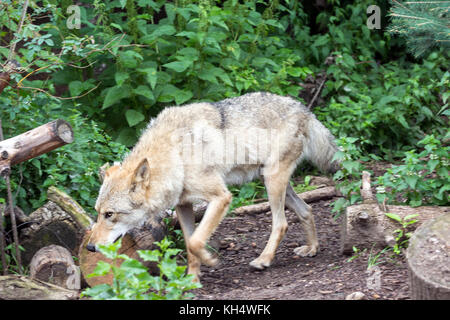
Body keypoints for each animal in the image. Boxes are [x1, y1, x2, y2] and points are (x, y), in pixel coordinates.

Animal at [87, 91, 338, 282]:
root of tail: (303, 108)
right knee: (307, 209)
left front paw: (210, 259)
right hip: (272, 182)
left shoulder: (221, 197)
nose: (89, 248)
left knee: (281, 223)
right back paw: (312, 248)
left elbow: (196, 241)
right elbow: (189, 245)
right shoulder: (183, 206)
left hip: (272, 182)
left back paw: (263, 260)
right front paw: (191, 280)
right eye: (98, 213)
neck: (176, 154)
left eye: (110, 214)